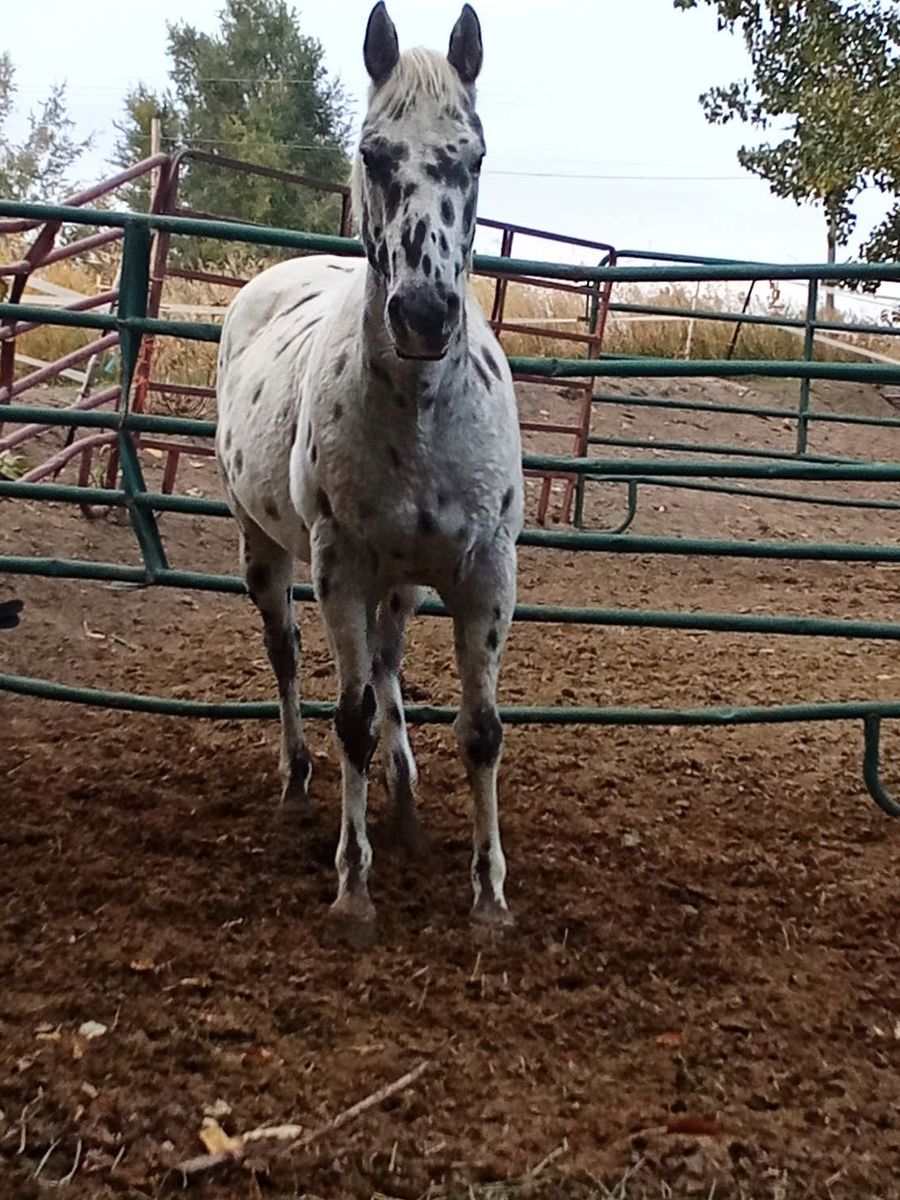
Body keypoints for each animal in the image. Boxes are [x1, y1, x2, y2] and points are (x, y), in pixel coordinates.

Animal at [215, 2, 524, 927]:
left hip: (404, 582)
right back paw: (297, 781)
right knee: (285, 656)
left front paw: (490, 896)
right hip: (265, 549)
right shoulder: (341, 568)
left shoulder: (483, 573)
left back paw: (406, 794)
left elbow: (480, 728)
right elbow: (349, 716)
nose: (423, 314)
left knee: (388, 668)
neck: (419, 414)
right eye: (373, 152)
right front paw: (354, 887)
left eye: (474, 153)